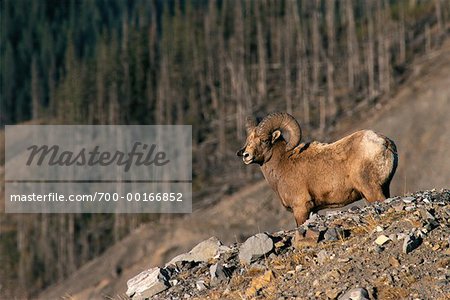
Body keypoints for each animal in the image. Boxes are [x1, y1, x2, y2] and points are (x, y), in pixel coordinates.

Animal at [236, 112, 398, 225]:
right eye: (249, 140)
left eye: (264, 140)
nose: (246, 155)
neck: (283, 164)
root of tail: (384, 143)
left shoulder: (301, 208)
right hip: (384, 188)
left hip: (371, 191)